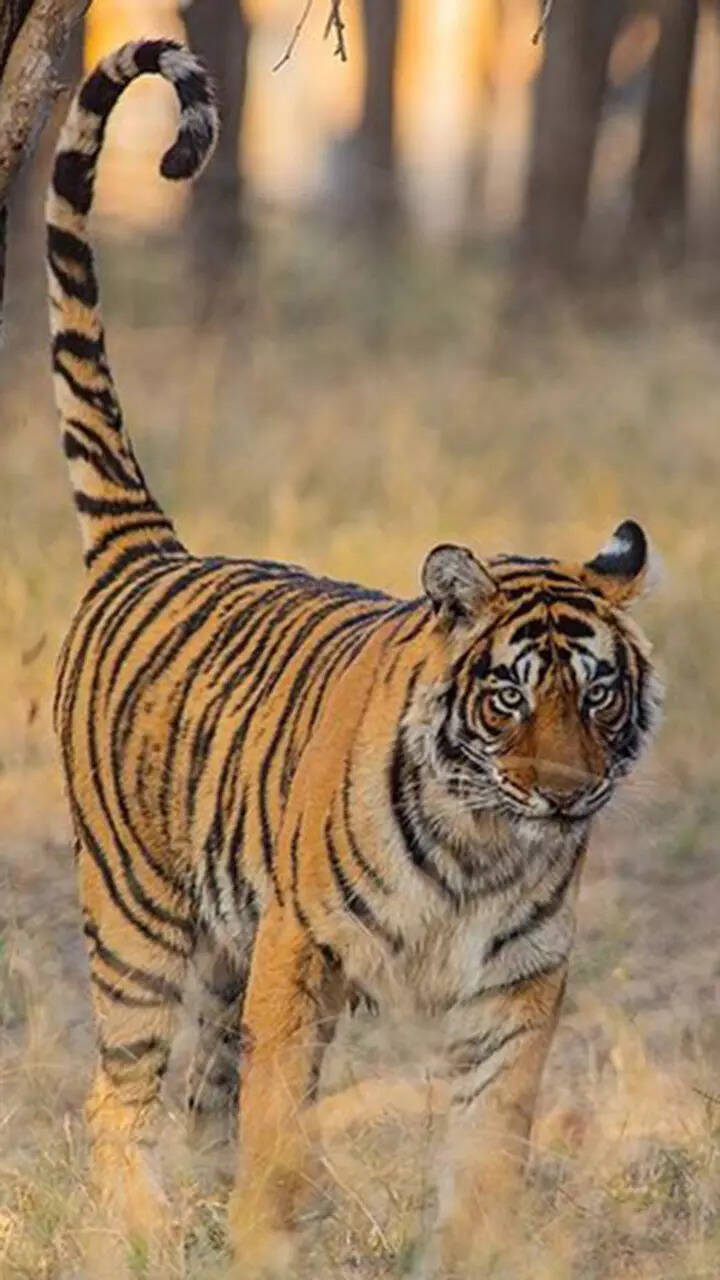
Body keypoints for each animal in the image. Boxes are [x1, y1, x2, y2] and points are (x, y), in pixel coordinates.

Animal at [46, 37, 662, 1279]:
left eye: (600, 695)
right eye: (509, 695)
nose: (565, 795)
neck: (483, 842)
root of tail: (151, 548)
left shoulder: (519, 981)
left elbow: (487, 1142)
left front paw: (470, 1252)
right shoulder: (301, 943)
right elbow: (284, 1122)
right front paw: (271, 1240)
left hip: (215, 951)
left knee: (199, 1097)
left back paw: (190, 1219)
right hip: (140, 920)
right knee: (119, 1099)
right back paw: (145, 1234)